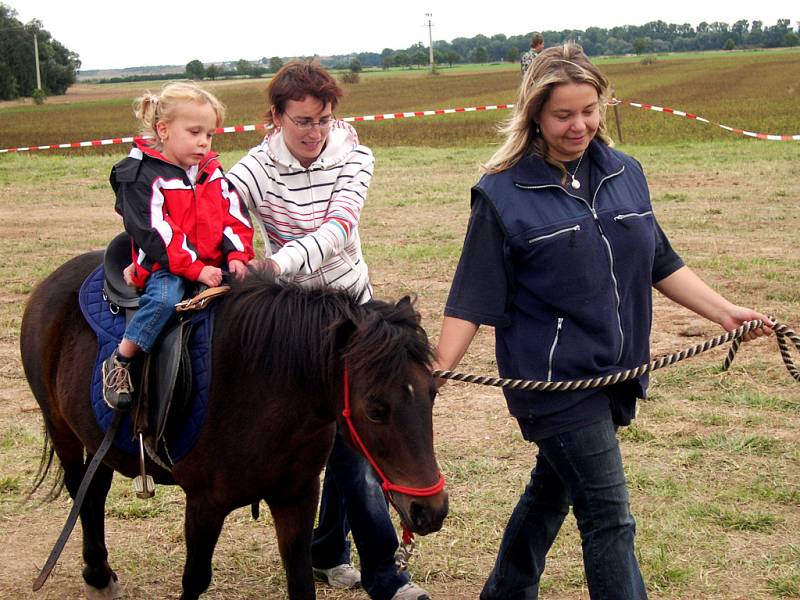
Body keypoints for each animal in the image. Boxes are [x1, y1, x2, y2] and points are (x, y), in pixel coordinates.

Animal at [21, 251, 446, 596]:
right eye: (375, 409)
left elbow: (299, 580)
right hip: (61, 427)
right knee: (79, 486)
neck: (259, 384)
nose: (431, 511)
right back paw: (96, 574)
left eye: (433, 393)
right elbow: (195, 579)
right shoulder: (205, 504)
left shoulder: (296, 496)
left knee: (94, 490)